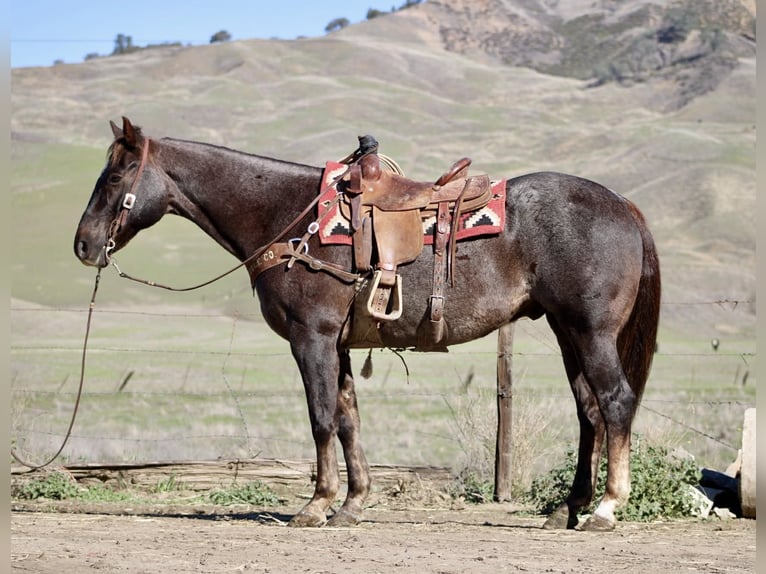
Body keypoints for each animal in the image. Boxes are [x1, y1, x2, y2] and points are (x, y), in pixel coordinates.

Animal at [74, 117, 660, 531]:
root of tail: (624, 205)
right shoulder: (338, 344)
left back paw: (606, 509)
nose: (82, 244)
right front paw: (352, 504)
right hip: (568, 332)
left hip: (591, 333)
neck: (290, 219)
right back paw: (568, 508)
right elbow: (348, 416)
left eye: (116, 175)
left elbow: (320, 418)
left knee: (614, 402)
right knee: (588, 412)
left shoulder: (310, 338)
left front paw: (316, 505)